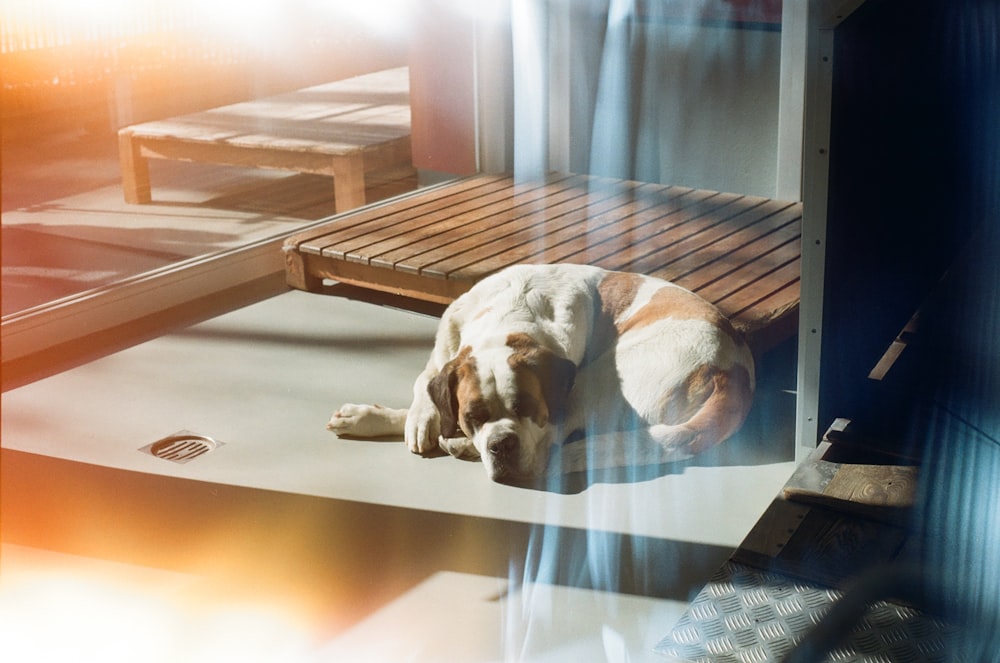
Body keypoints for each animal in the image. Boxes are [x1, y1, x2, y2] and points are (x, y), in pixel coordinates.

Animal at [324, 262, 752, 486]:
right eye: (474, 416)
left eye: (528, 410)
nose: (501, 444)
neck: (508, 315)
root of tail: (732, 368)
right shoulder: (446, 347)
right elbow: (425, 382)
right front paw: (411, 417)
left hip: (599, 378)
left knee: (558, 440)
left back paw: (462, 446)